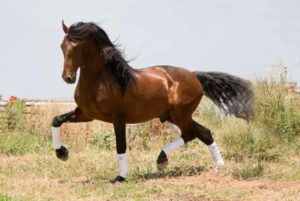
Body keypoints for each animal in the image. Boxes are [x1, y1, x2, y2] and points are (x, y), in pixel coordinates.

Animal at [51, 21, 253, 183]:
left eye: (78, 47)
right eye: (62, 46)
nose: (68, 77)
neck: (100, 80)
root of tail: (195, 76)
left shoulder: (118, 119)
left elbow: (120, 146)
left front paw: (120, 178)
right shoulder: (86, 114)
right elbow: (56, 120)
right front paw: (62, 153)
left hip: (180, 115)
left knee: (191, 133)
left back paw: (162, 160)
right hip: (171, 115)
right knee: (203, 132)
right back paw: (218, 166)